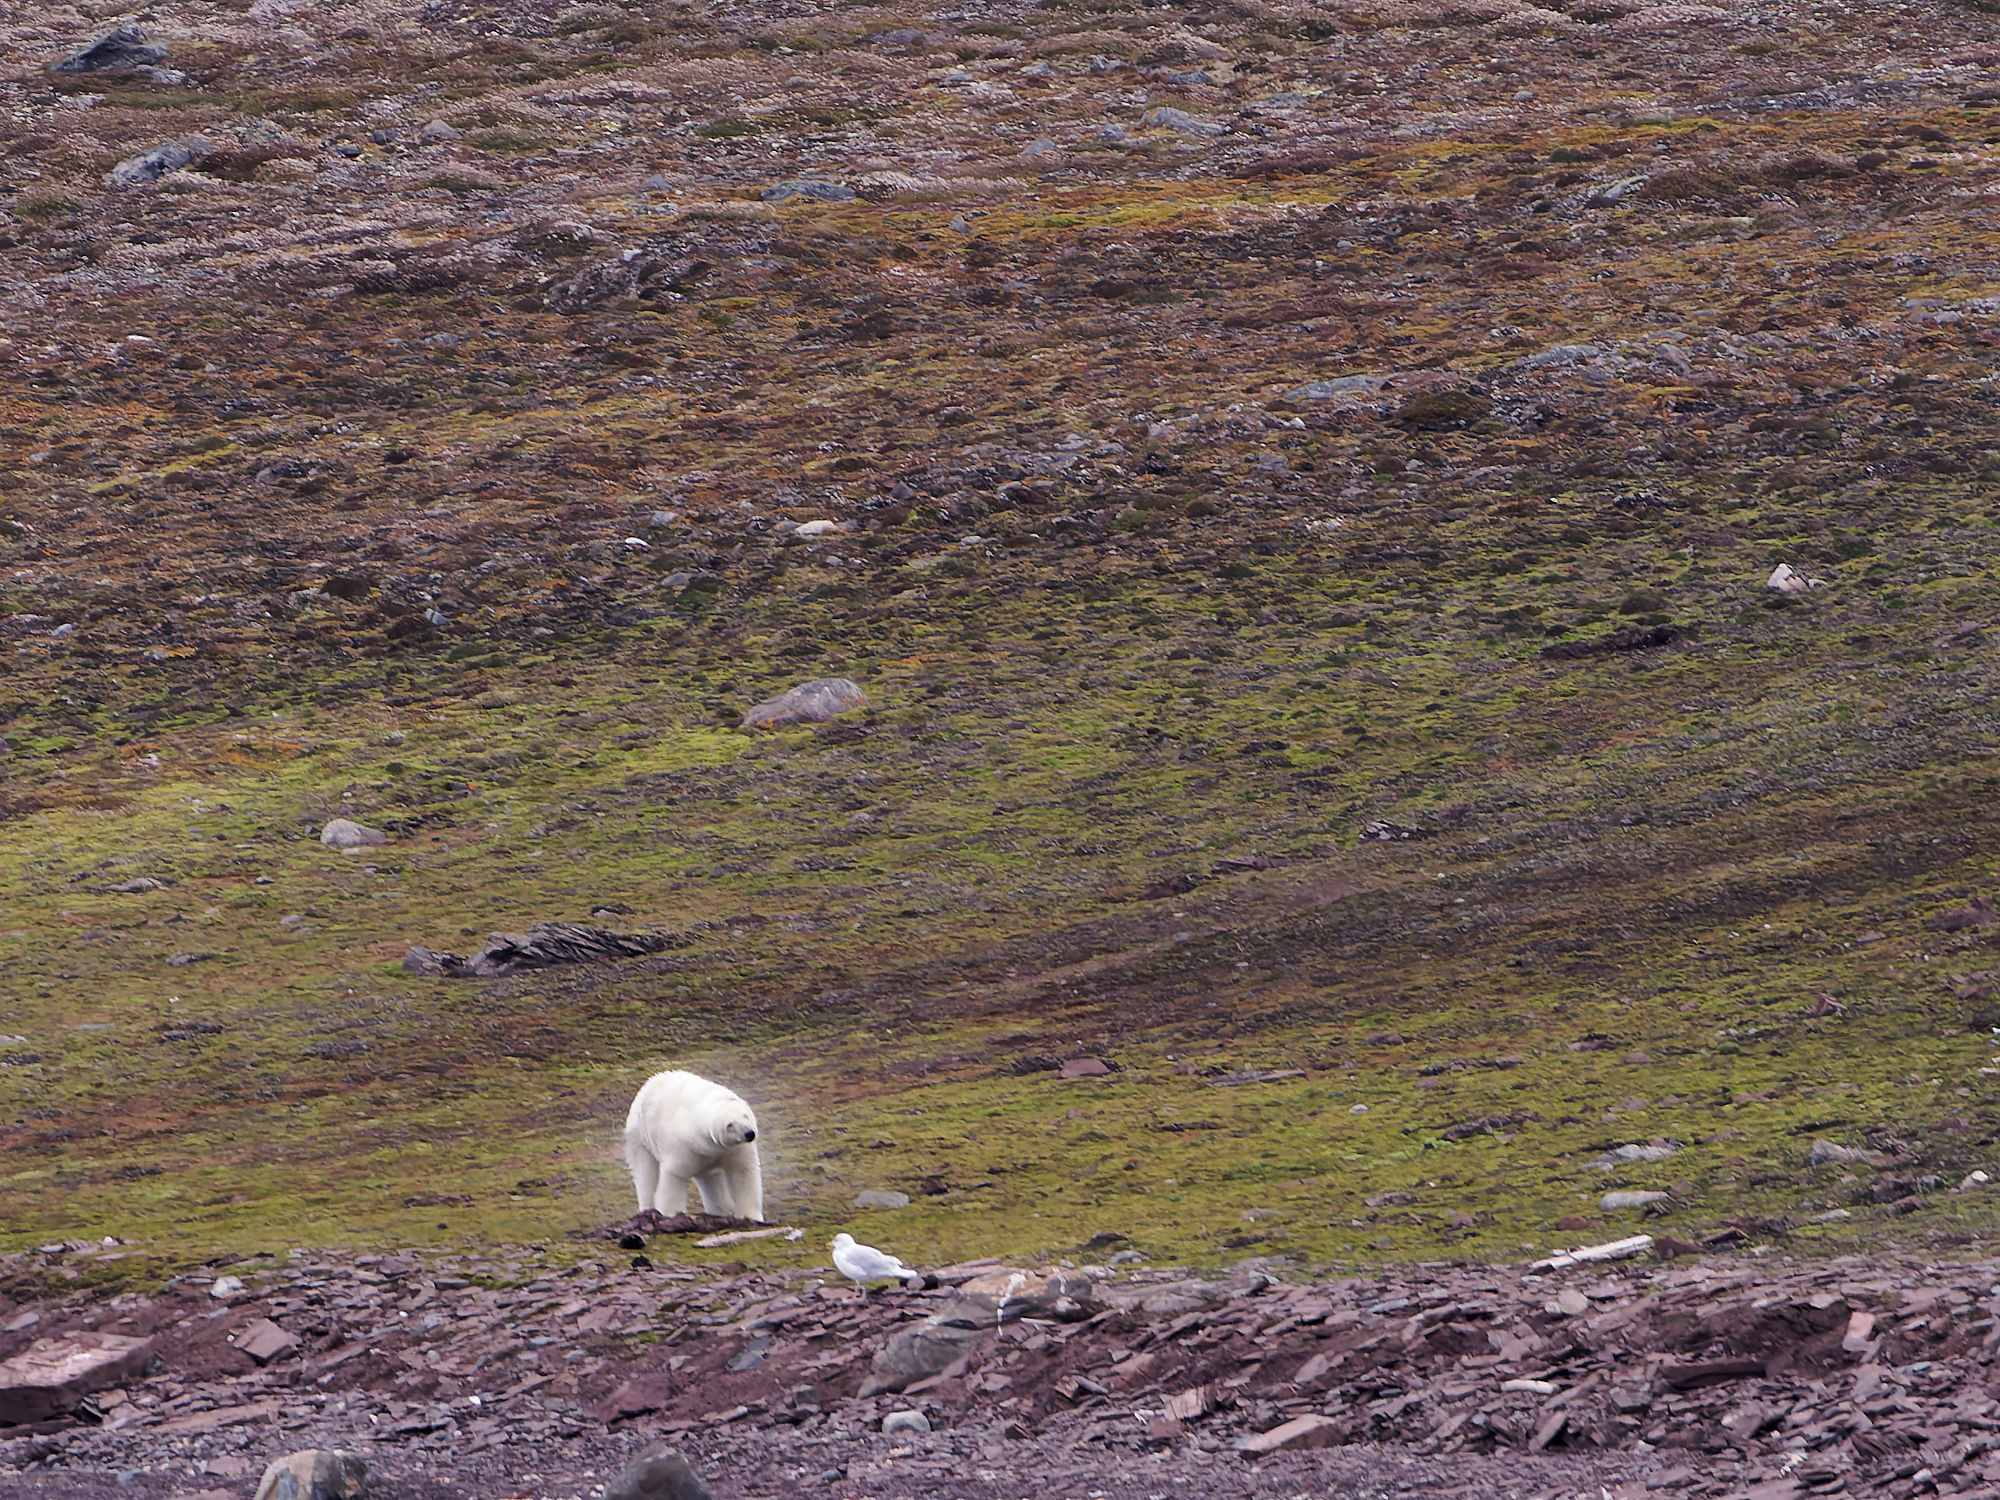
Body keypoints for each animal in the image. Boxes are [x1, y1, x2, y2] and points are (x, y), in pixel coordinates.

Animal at [623, 1070, 765, 1221]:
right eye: (729, 1125)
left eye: (745, 1116)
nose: (749, 1133)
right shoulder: (683, 1148)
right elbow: (674, 1177)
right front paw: (671, 1214)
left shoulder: (733, 1149)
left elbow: (743, 1172)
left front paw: (752, 1216)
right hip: (641, 1136)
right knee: (645, 1172)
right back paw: (648, 1208)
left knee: (711, 1178)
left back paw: (721, 1211)